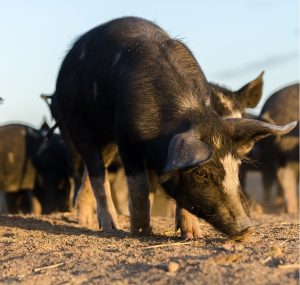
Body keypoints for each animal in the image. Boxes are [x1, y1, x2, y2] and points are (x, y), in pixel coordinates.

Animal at [51, 16, 296, 237]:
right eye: (201, 173)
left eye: (235, 168)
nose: (247, 229)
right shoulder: (124, 135)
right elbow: (138, 185)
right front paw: (141, 232)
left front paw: (193, 235)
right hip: (77, 121)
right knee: (96, 171)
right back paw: (107, 227)